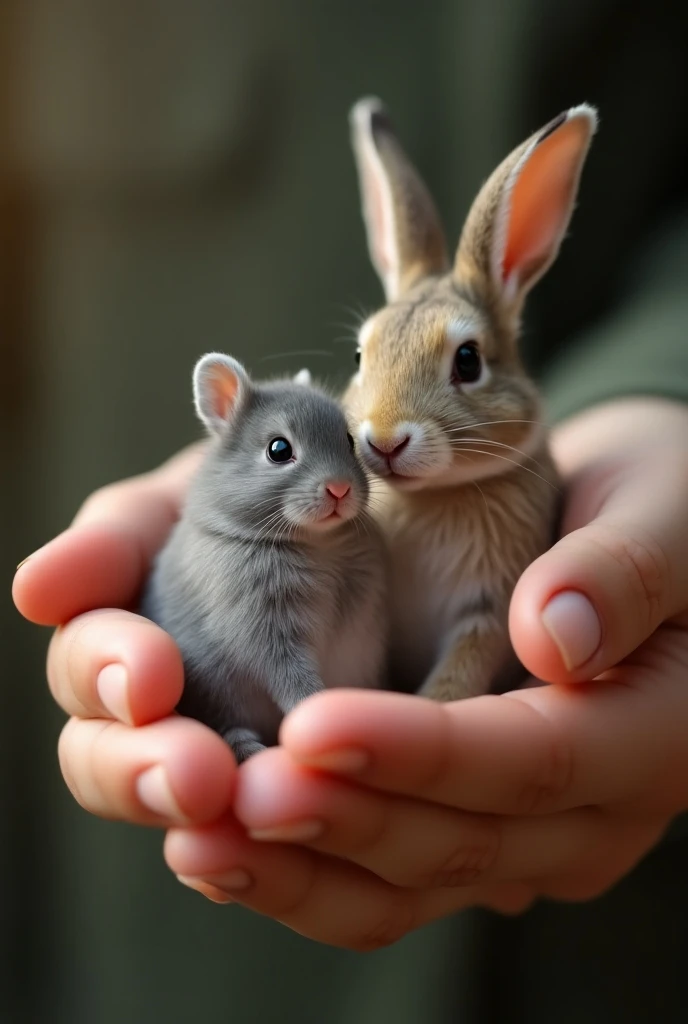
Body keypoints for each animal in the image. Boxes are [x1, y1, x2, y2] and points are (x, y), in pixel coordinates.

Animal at [141, 352, 387, 761]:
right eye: (278, 450)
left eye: (349, 441)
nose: (340, 488)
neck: (315, 542)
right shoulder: (267, 631)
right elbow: (288, 676)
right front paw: (313, 705)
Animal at [344, 97, 597, 704]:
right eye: (361, 356)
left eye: (468, 361)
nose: (383, 440)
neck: (434, 495)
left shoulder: (487, 612)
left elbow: (464, 667)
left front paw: (433, 703)